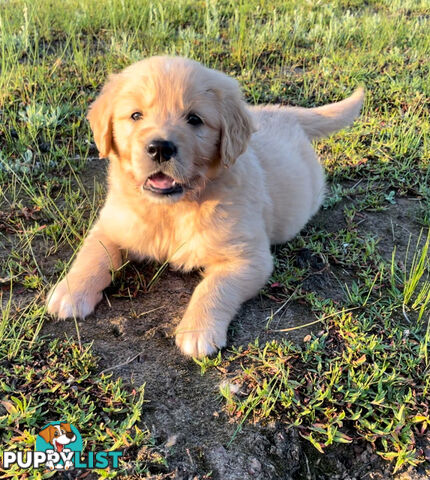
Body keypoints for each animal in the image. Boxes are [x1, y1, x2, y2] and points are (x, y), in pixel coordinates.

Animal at [47, 55, 362, 356]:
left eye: (194, 119)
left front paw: (197, 332)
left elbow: (214, 287)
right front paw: (70, 292)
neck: (172, 208)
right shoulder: (112, 224)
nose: (160, 148)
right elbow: (94, 254)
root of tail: (283, 112)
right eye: (136, 115)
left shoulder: (249, 257)